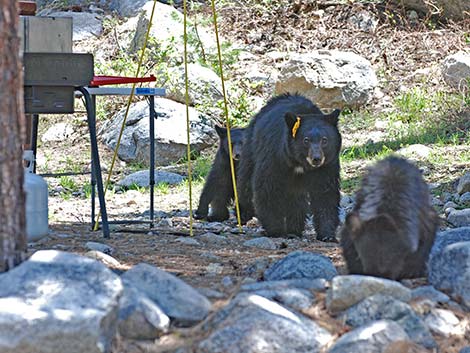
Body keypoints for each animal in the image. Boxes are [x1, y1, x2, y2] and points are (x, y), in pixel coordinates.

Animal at [237, 92, 340, 241]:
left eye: (324, 140)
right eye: (306, 140)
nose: (316, 159)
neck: (298, 162)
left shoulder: (327, 165)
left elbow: (325, 194)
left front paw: (327, 235)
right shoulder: (275, 156)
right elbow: (268, 188)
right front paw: (276, 230)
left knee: (296, 198)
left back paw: (294, 230)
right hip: (251, 146)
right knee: (245, 180)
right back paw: (243, 214)